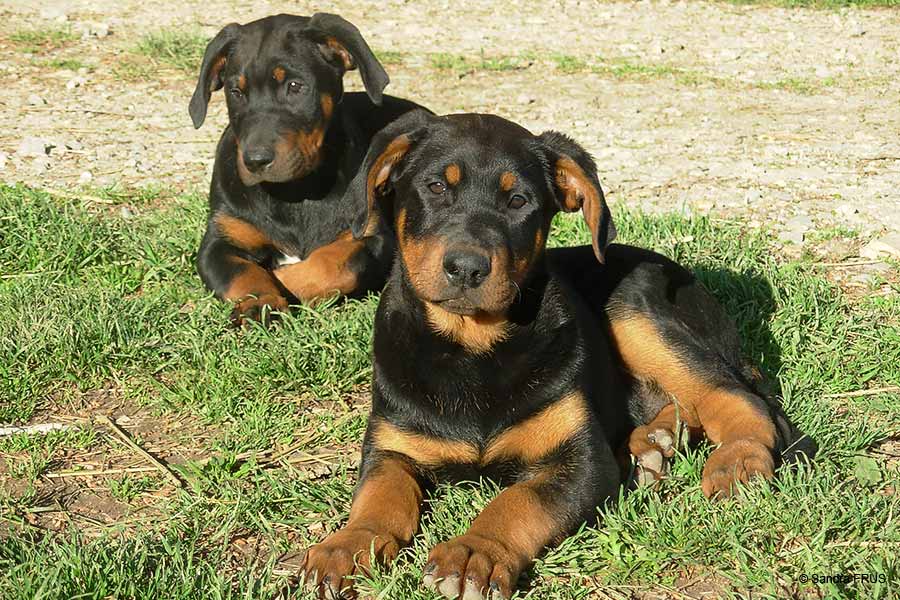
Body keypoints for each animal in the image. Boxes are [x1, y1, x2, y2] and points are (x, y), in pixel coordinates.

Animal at [187, 12, 426, 324]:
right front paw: (261, 301)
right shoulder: (220, 240)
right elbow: (243, 272)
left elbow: (334, 264)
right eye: (236, 92)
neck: (294, 192)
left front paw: (282, 281)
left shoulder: (373, 238)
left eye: (294, 86)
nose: (255, 161)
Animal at [300, 111, 808, 596]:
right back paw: (654, 442)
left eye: (518, 201)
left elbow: (517, 501)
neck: (472, 346)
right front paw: (345, 547)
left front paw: (473, 553)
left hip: (634, 307)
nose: (466, 268)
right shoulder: (392, 445)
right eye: (436, 186)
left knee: (735, 395)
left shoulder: (581, 461)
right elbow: (377, 498)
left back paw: (737, 458)